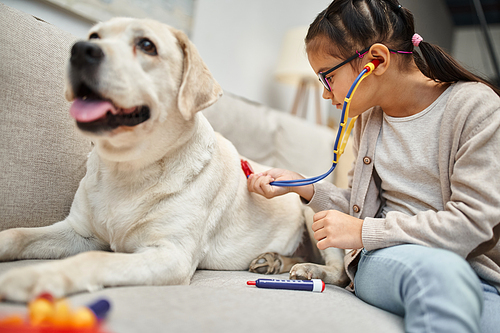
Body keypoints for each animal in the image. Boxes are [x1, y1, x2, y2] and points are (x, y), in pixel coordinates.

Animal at [0, 17, 348, 300]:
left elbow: (94, 258)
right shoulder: (79, 232)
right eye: (94, 35)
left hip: (313, 212)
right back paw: (274, 260)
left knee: (341, 273)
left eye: (146, 45)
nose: (80, 49)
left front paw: (31, 279)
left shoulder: (171, 256)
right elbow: (17, 234)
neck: (128, 169)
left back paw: (309, 270)